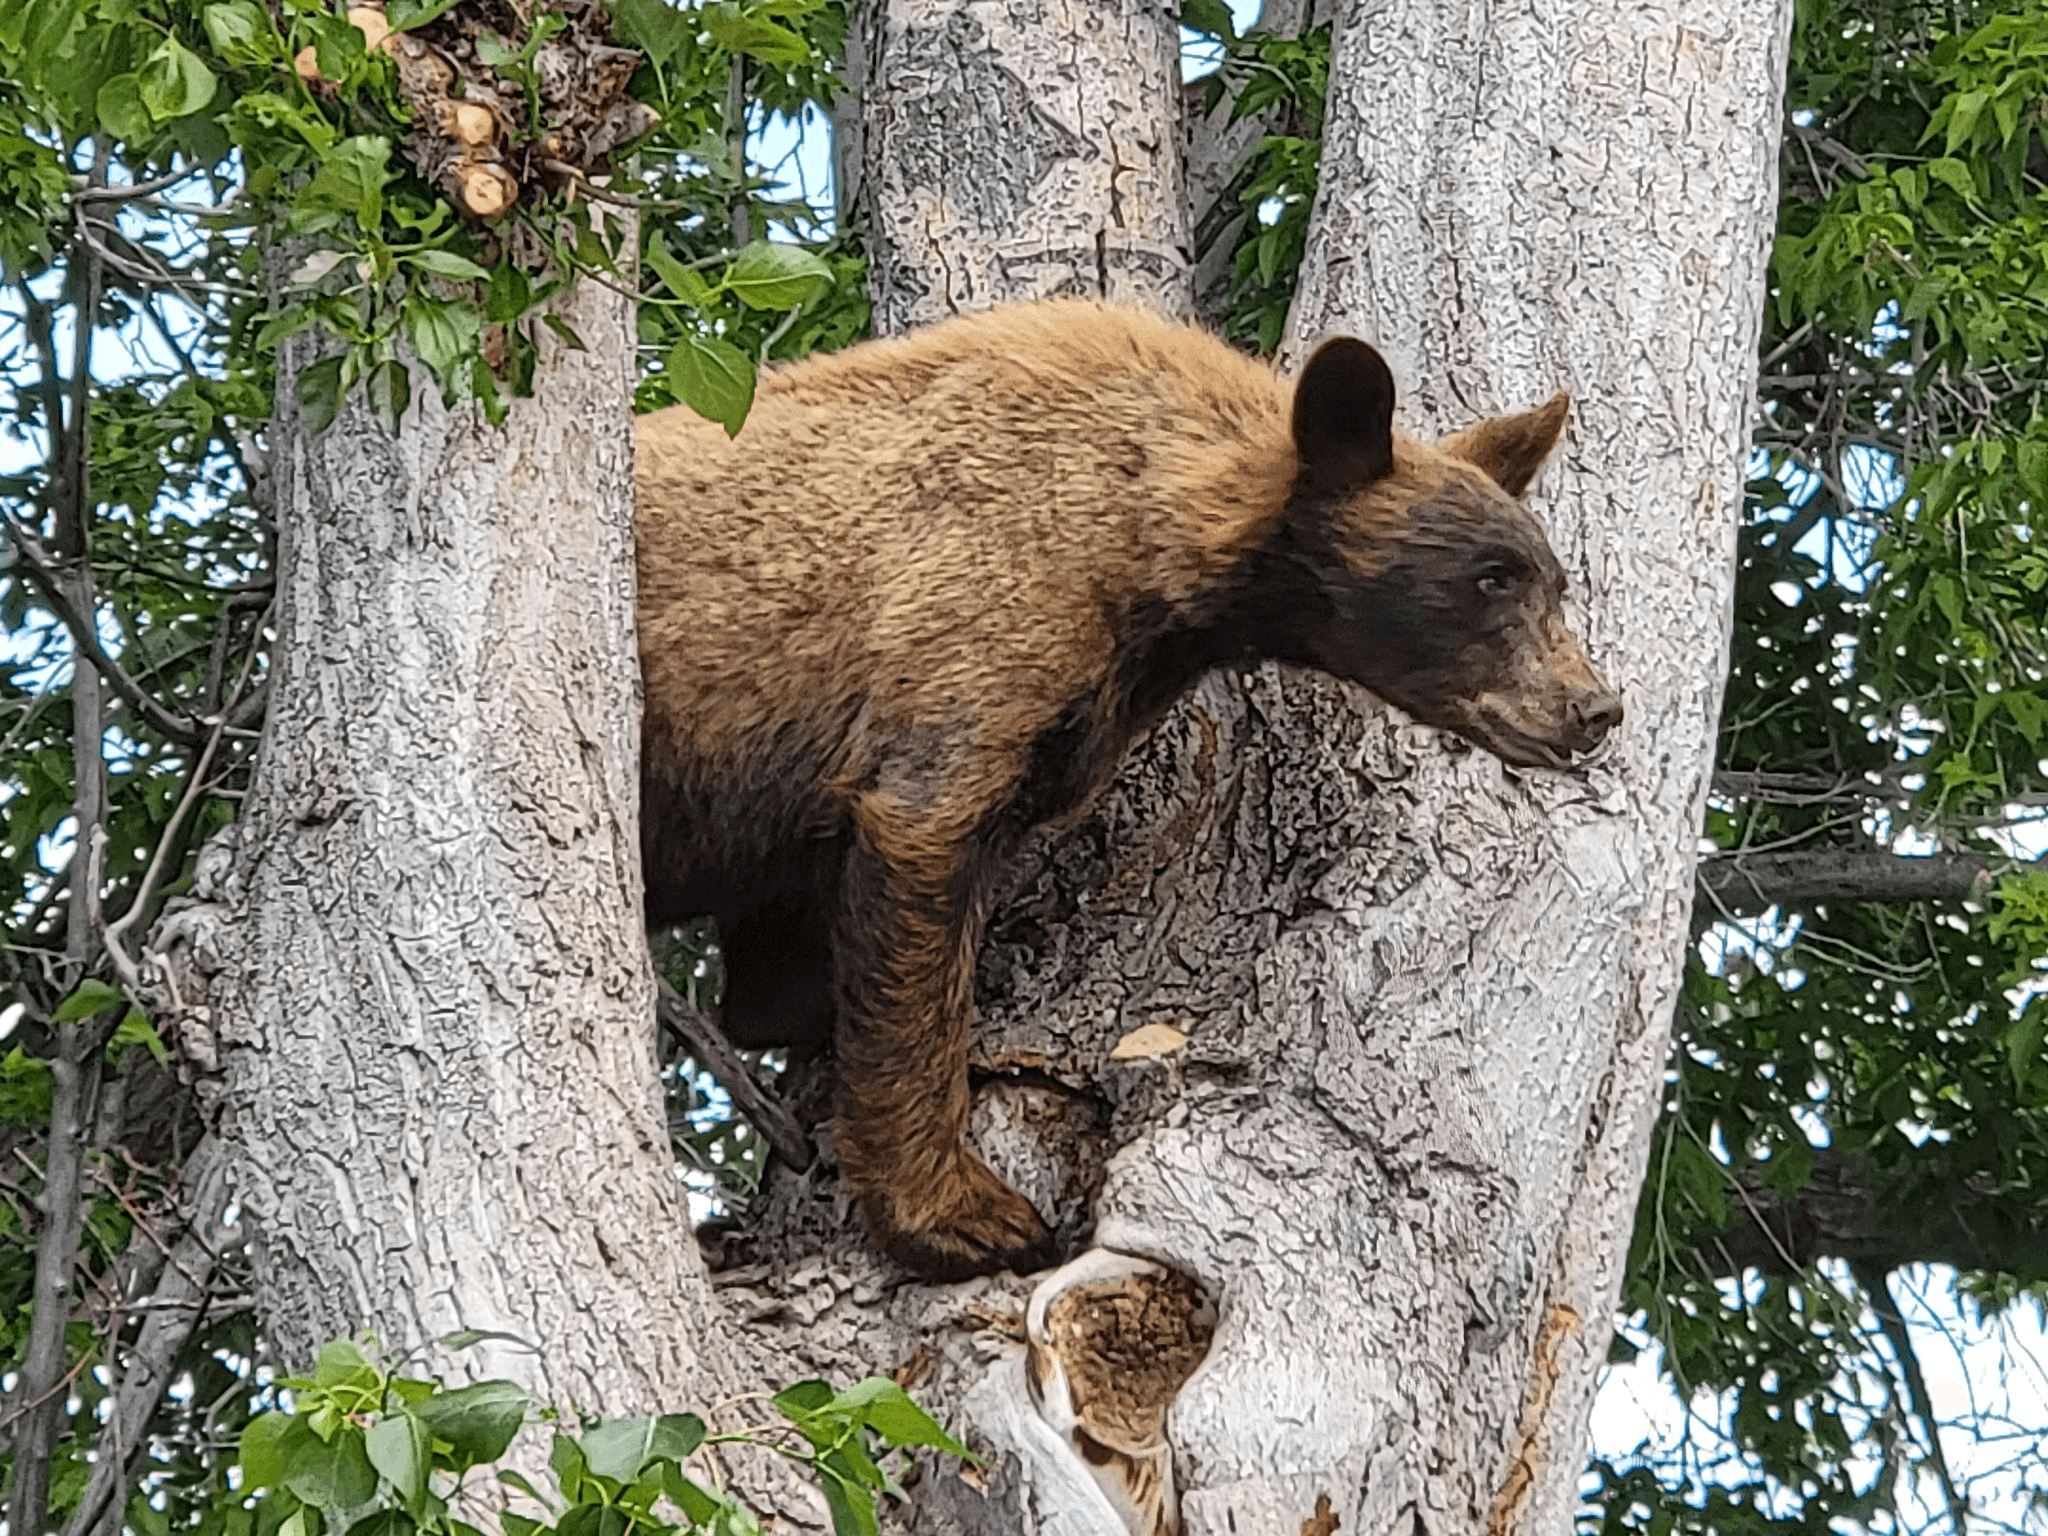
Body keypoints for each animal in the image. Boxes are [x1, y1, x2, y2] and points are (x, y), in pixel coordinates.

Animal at [634, 300, 1621, 1280]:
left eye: (1555, 583)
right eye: (1491, 578)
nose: (1595, 707)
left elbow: (780, 979)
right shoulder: (975, 629)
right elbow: (919, 877)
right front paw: (961, 1214)